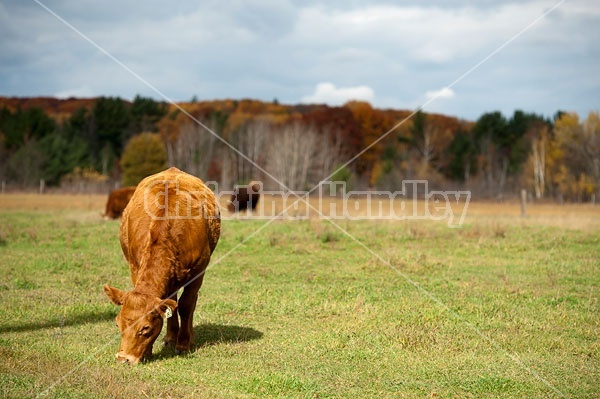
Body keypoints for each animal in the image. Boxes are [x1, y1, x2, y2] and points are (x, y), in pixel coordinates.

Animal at [103, 167, 220, 364]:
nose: (123, 358)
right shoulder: (135, 267)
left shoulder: (199, 271)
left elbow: (186, 305)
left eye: (145, 328)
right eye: (118, 323)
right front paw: (151, 350)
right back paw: (170, 337)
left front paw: (183, 344)